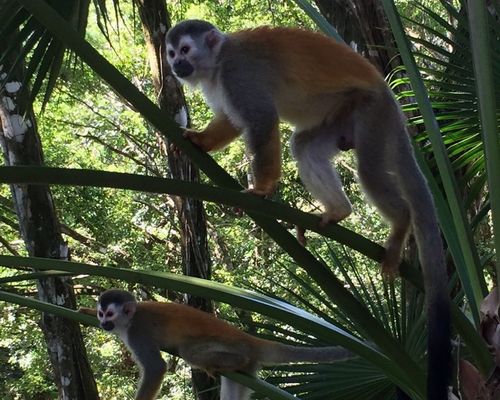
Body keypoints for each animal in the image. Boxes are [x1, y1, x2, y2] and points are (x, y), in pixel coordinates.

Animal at [80, 290, 354, 400]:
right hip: (248, 372)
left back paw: (223, 363)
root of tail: (249, 340)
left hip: (231, 346)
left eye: (110, 315)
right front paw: (83, 311)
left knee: (190, 351)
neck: (129, 320)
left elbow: (157, 367)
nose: (103, 323)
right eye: (101, 314)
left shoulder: (138, 333)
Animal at [165, 19, 454, 400]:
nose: (176, 66)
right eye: (171, 53)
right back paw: (339, 211)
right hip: (342, 117)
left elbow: (261, 121)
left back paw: (399, 226)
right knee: (303, 145)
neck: (216, 62)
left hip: (372, 112)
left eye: (185, 50)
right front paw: (198, 140)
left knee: (370, 172)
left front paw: (262, 188)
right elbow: (230, 120)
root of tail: (390, 98)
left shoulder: (238, 74)